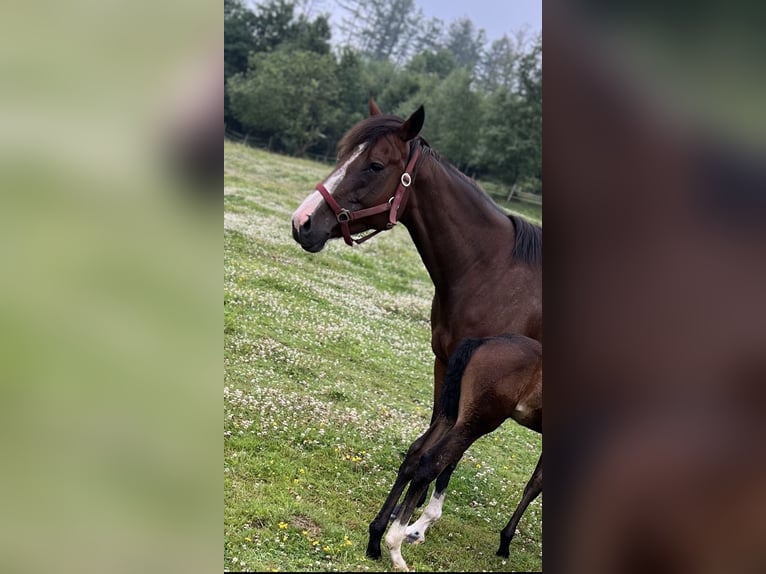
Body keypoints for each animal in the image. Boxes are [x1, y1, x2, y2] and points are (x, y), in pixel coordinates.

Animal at [380, 333, 542, 571]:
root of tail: (482, 342)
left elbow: (534, 485)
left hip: (452, 414)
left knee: (415, 453)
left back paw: (375, 539)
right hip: (476, 422)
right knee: (431, 463)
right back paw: (395, 548)